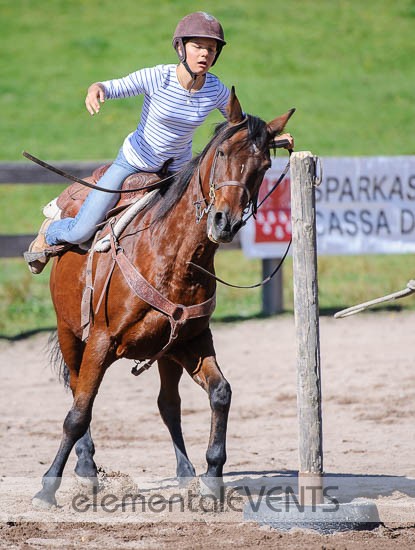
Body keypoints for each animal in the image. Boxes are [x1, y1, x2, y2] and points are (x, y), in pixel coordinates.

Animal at [33, 88, 294, 508]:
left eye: (265, 164)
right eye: (223, 153)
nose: (224, 221)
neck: (172, 257)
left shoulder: (193, 341)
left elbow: (220, 393)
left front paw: (212, 477)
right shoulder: (101, 340)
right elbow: (78, 413)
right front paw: (47, 488)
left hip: (166, 353)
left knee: (168, 405)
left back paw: (186, 474)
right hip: (69, 332)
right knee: (76, 393)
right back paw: (86, 468)